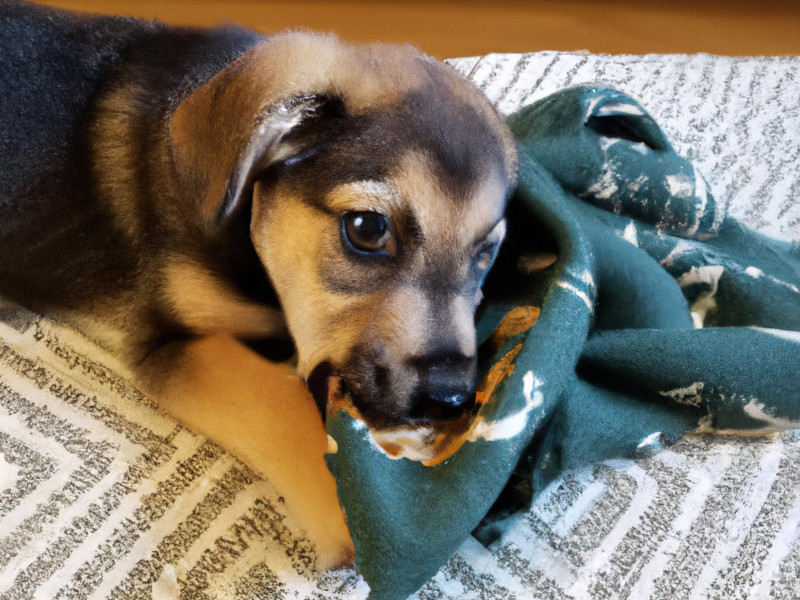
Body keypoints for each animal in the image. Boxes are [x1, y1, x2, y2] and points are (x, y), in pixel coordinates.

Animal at [0, 0, 520, 540]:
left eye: (486, 254)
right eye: (368, 228)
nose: (451, 401)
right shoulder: (171, 344)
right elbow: (283, 404)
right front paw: (357, 520)